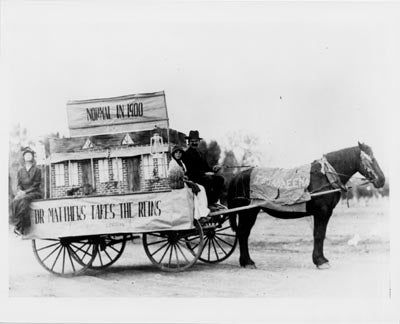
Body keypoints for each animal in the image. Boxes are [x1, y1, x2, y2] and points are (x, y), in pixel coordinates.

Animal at [227, 142, 386, 268]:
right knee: (243, 233)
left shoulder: (324, 213)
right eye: (369, 159)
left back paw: (246, 261)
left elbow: (320, 234)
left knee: (243, 233)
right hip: (248, 212)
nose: (382, 180)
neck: (325, 176)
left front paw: (320, 259)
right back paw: (247, 262)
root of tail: (238, 175)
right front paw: (321, 261)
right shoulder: (322, 212)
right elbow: (319, 235)